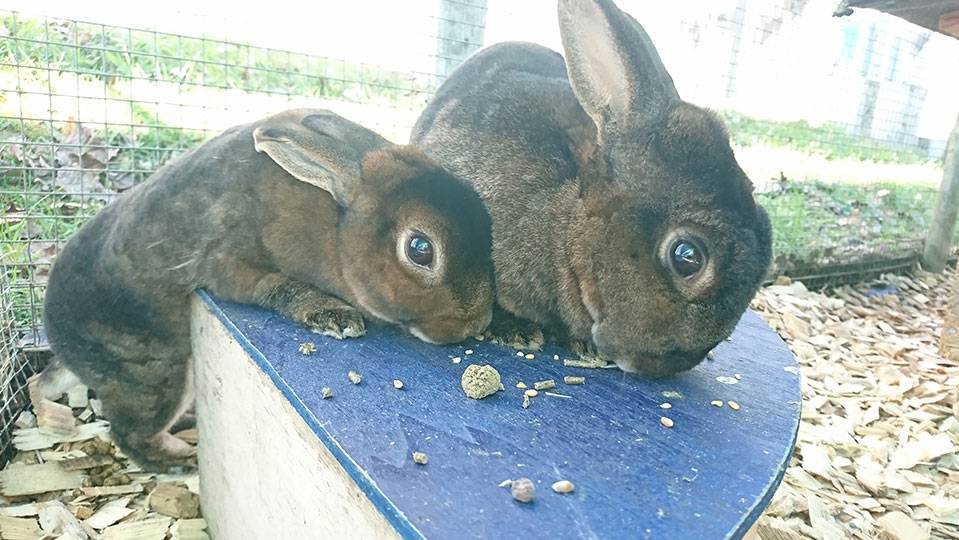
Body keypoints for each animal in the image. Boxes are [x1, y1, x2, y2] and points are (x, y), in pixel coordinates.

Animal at [43, 107, 496, 466]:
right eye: (420, 249)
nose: (474, 323)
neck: (337, 226)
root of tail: (56, 341)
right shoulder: (229, 263)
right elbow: (276, 288)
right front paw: (334, 317)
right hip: (154, 377)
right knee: (129, 432)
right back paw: (181, 459)